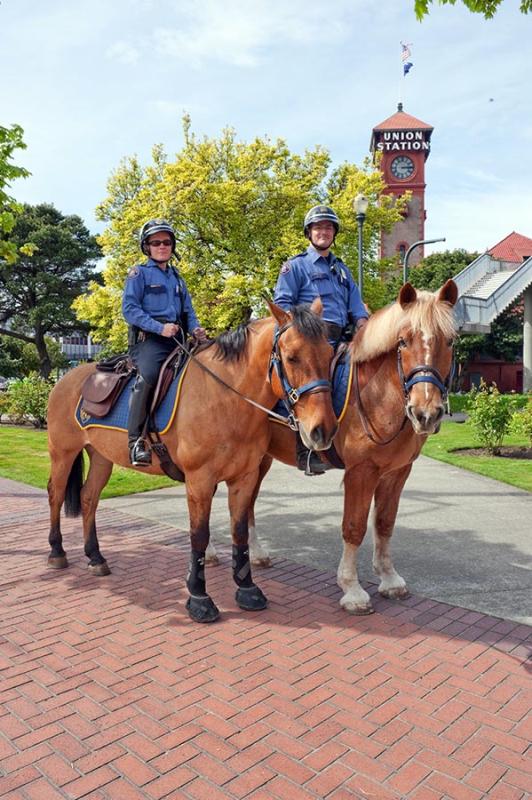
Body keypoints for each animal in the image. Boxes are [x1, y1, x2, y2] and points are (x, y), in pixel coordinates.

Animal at [46, 296, 336, 620]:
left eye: (329, 353)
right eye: (292, 357)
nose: (322, 429)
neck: (223, 398)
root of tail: (65, 379)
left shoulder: (244, 478)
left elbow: (239, 532)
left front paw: (247, 588)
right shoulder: (199, 480)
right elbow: (199, 535)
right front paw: (199, 597)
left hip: (100, 457)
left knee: (88, 498)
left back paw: (95, 557)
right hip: (62, 452)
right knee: (56, 494)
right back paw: (57, 551)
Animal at [233, 280, 458, 612]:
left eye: (450, 341)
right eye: (403, 342)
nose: (425, 412)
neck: (376, 394)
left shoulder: (397, 472)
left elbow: (384, 523)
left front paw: (389, 579)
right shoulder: (360, 472)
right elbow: (354, 526)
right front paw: (352, 589)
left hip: (260, 458)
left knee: (246, 503)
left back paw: (257, 555)